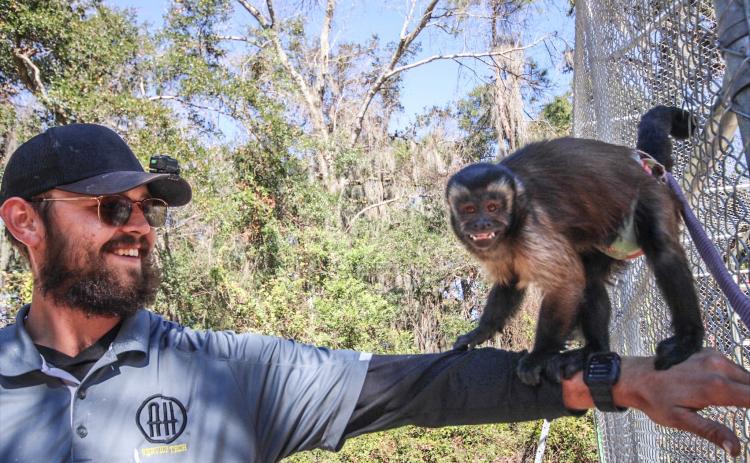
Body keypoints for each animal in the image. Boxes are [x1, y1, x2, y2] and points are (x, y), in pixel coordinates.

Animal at [447, 106, 704, 386]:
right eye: (469, 210)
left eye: (492, 207)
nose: (482, 224)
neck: (514, 221)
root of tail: (643, 164)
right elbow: (511, 282)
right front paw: (480, 332)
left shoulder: (533, 229)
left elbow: (566, 282)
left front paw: (540, 354)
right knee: (591, 278)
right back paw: (595, 349)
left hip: (649, 197)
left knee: (663, 251)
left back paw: (689, 339)